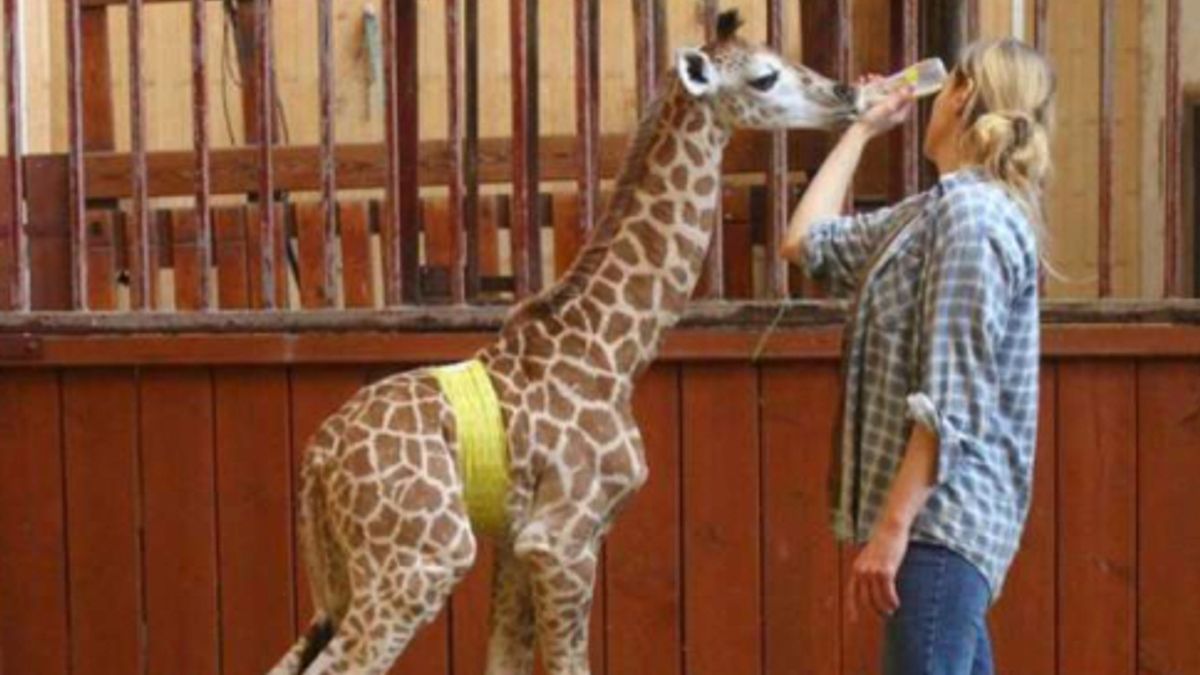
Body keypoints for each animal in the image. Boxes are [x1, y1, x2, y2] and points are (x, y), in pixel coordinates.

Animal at [269, 10, 859, 675]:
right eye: (764, 77)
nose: (845, 93)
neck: (614, 350)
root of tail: (316, 464)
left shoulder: (517, 541)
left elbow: (503, 661)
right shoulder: (564, 537)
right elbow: (569, 664)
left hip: (343, 576)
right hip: (423, 555)